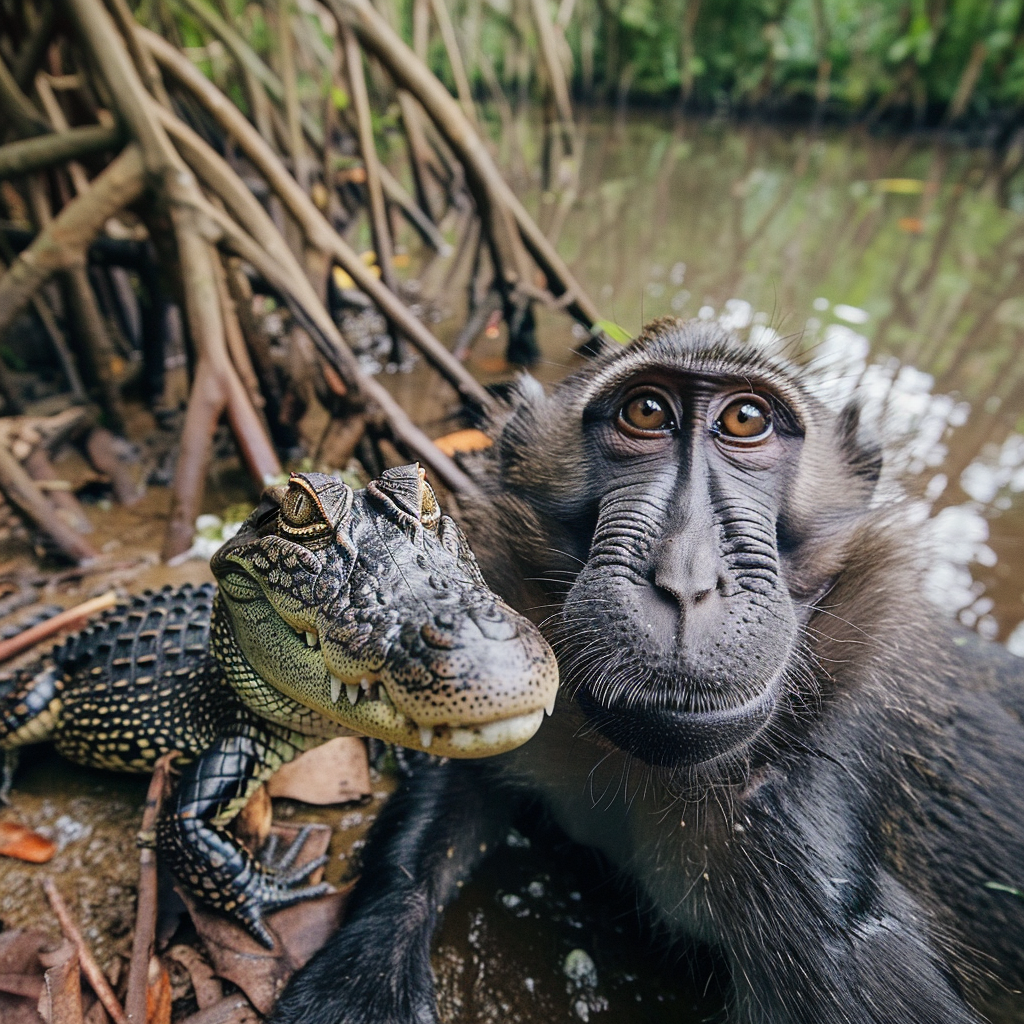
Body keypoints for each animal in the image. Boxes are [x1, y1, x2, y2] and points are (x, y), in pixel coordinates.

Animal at [270, 319, 1024, 1024]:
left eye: (745, 420)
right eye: (647, 412)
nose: (684, 581)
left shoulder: (802, 853)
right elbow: (458, 775)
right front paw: (363, 973)